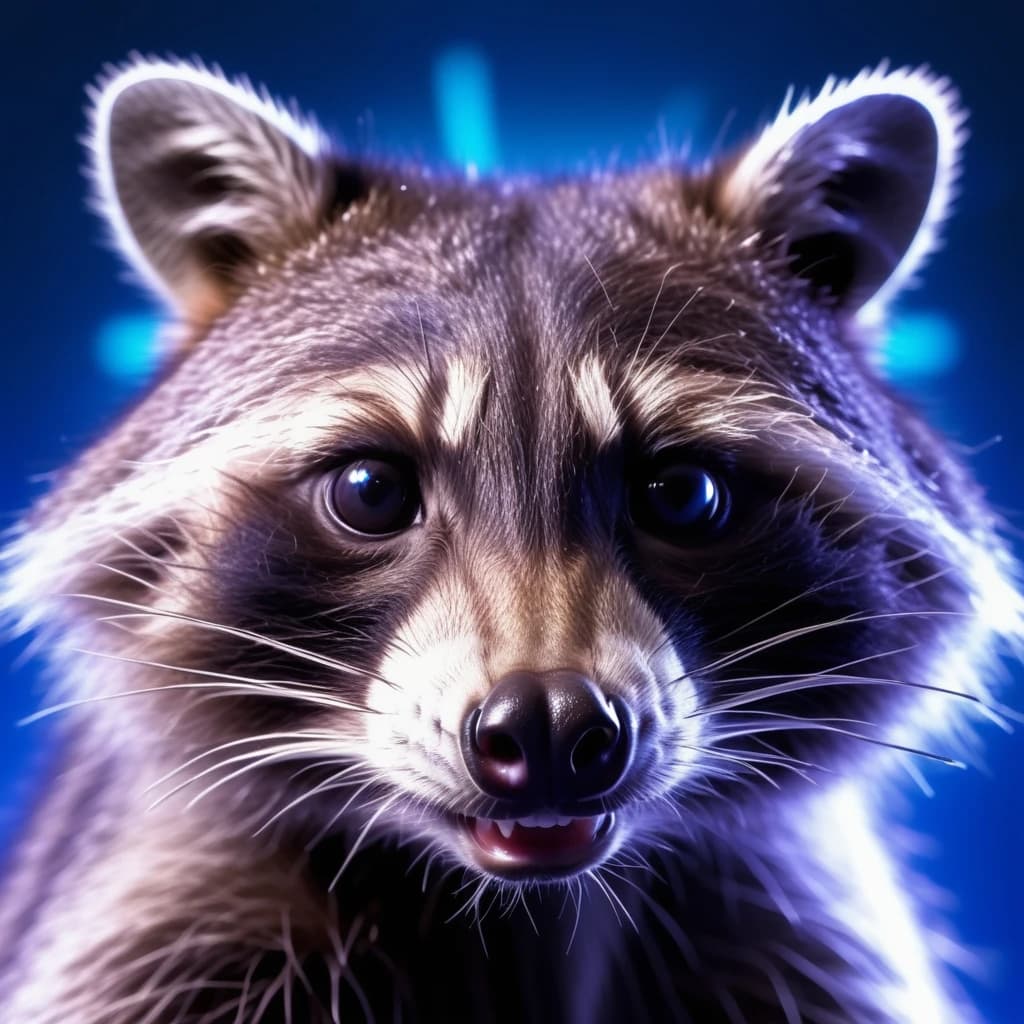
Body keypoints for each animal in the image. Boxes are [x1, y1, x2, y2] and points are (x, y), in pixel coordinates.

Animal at [0, 56, 1019, 1024]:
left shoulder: (794, 931)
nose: (550, 723)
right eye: (371, 492)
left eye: (682, 495)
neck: (530, 914)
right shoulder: (160, 917)